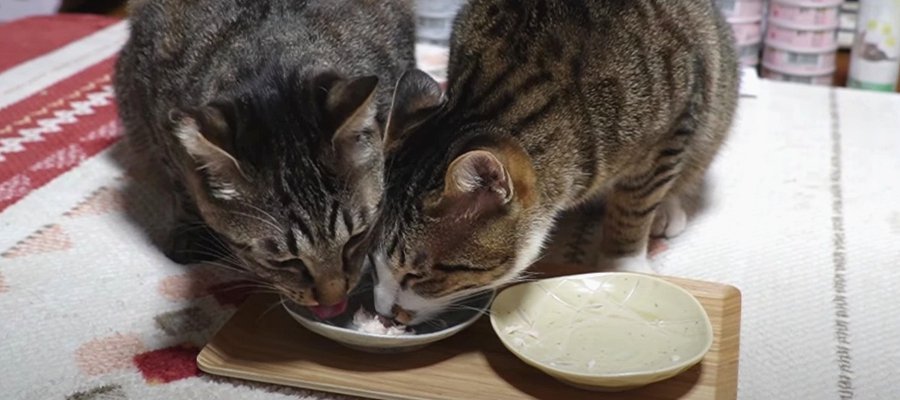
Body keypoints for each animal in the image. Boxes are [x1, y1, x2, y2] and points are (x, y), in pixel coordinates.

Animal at [113, 0, 418, 318]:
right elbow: (180, 181)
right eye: (285, 262)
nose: (334, 299)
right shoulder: (157, 117)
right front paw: (190, 226)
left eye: (356, 238)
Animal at [372, 0, 740, 324]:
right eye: (370, 262)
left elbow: (634, 206)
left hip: (715, 105)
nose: (382, 313)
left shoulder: (677, 120)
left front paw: (624, 262)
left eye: (417, 275)